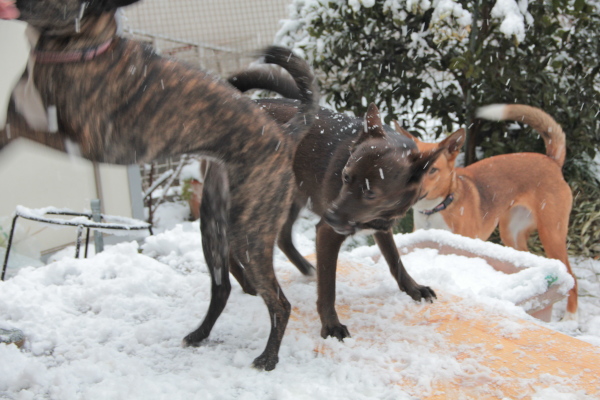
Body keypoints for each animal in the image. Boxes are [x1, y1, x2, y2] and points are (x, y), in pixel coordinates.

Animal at [1, 0, 318, 370]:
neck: (83, 48)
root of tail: (286, 133)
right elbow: (10, 124)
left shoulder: (83, 140)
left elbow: (19, 127)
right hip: (213, 225)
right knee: (222, 287)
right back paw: (200, 333)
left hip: (249, 233)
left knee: (278, 302)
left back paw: (268, 357)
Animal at [227, 69, 442, 340]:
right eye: (345, 177)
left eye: (371, 193)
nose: (330, 217)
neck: (380, 213)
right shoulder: (327, 234)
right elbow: (328, 287)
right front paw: (330, 324)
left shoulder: (381, 227)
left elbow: (395, 261)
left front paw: (413, 288)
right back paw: (247, 284)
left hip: (293, 196)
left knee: (283, 237)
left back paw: (303, 268)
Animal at [400, 104, 580, 320]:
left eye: (433, 170)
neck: (437, 208)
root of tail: (551, 160)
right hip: (511, 233)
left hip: (551, 234)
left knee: (572, 276)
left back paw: (570, 316)